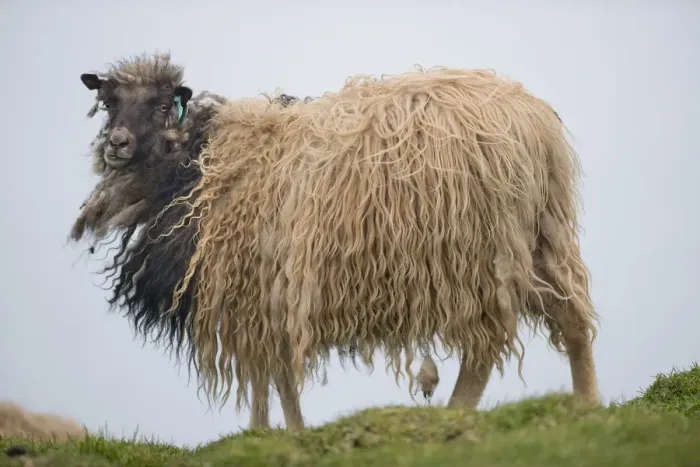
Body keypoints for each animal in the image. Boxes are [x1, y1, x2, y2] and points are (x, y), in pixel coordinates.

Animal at [70, 52, 600, 432]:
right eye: (110, 103)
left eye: (162, 106)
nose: (116, 144)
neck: (199, 164)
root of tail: (533, 125)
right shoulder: (266, 293)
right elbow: (274, 373)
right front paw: (280, 431)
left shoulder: (250, 286)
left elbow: (272, 376)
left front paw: (276, 434)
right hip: (542, 237)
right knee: (572, 319)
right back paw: (588, 406)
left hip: (474, 250)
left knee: (485, 346)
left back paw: (456, 414)